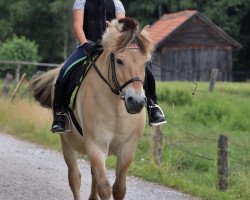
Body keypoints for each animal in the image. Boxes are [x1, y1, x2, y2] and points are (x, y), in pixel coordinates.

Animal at [30, 17, 153, 200]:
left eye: (145, 62)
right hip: (67, 143)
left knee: (93, 174)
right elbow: (105, 188)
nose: (136, 102)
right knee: (75, 177)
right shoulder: (96, 146)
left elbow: (119, 188)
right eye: (119, 60)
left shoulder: (128, 148)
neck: (116, 107)